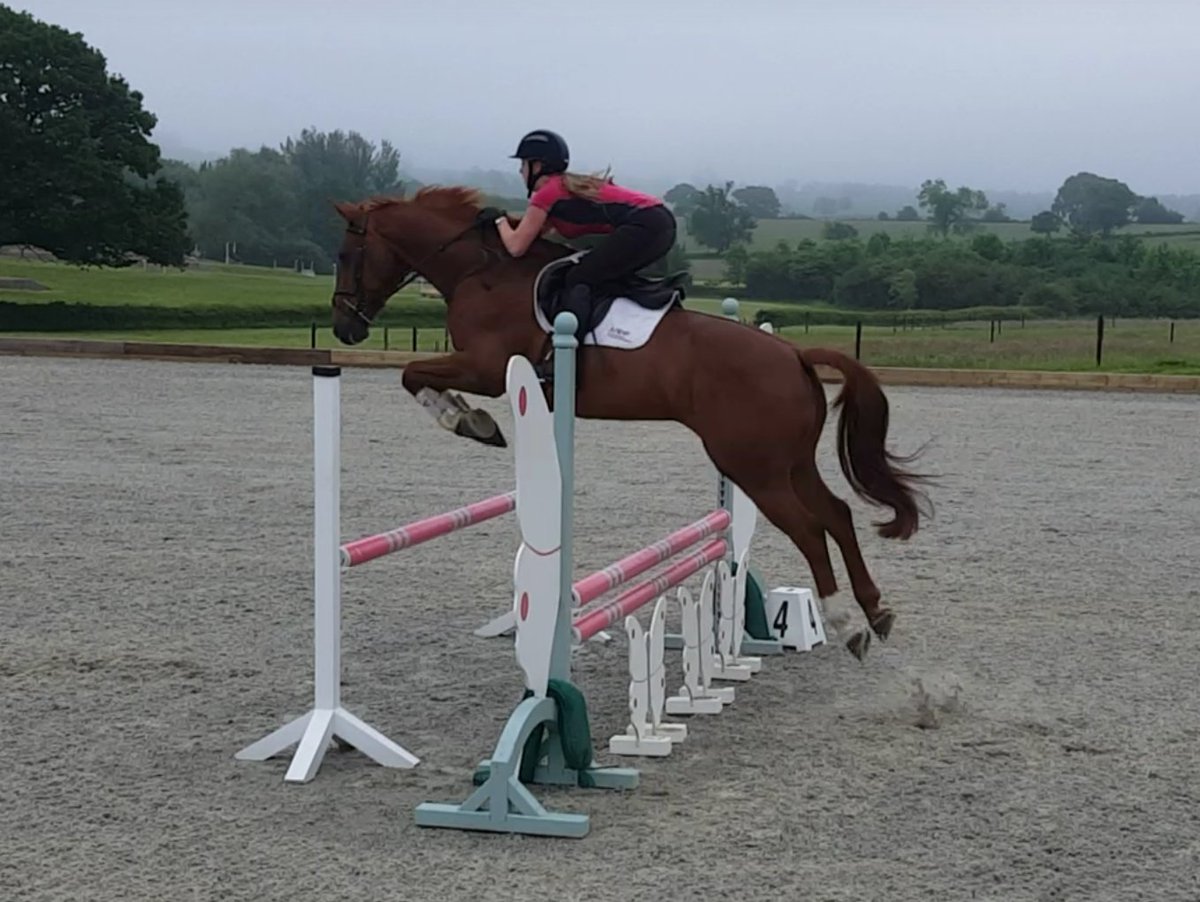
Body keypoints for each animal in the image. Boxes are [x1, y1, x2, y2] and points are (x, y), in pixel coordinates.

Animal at [329, 186, 930, 658]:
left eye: (345, 254)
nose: (343, 329)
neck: (483, 272)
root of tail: (794, 355)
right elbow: (415, 375)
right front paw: (475, 422)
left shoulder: (487, 368)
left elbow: (412, 374)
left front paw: (468, 420)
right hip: (789, 462)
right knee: (837, 514)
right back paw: (875, 611)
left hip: (751, 466)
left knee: (809, 528)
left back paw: (846, 623)